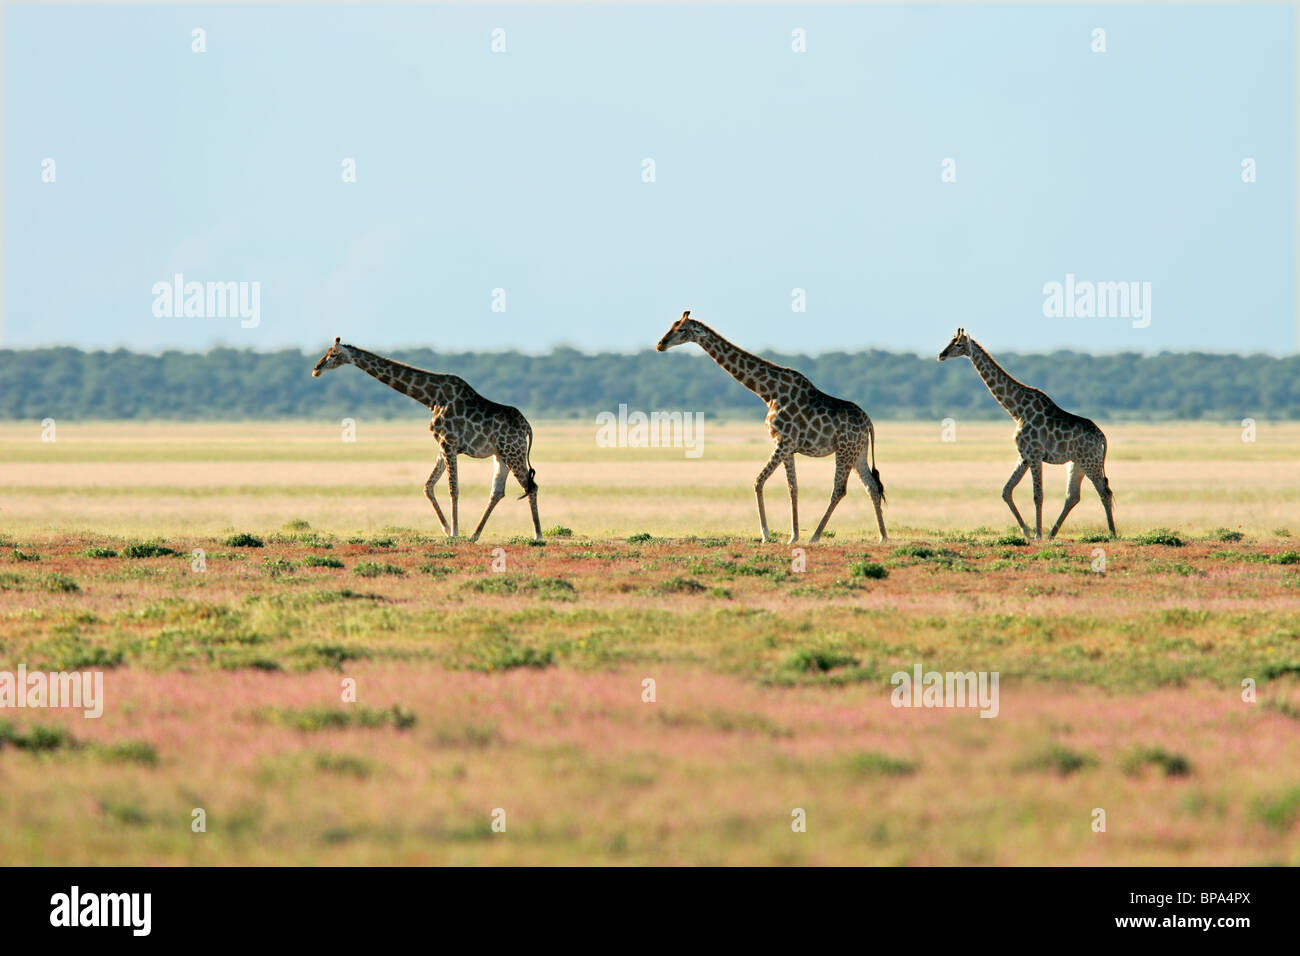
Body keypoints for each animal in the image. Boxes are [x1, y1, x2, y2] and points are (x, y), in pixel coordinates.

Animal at [312, 338, 541, 542]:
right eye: (326, 352)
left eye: (333, 354)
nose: (316, 369)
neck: (431, 398)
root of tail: (527, 427)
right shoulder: (442, 446)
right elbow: (428, 486)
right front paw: (447, 529)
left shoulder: (449, 443)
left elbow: (453, 489)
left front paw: (454, 532)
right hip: (500, 454)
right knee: (497, 492)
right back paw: (474, 535)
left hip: (513, 452)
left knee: (531, 486)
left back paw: (537, 535)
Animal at [656, 311, 887, 544]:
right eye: (671, 326)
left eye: (682, 329)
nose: (660, 344)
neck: (769, 392)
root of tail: (868, 422)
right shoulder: (788, 447)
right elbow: (793, 488)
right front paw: (793, 536)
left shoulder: (783, 442)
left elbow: (758, 481)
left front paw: (766, 534)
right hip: (858, 452)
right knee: (871, 486)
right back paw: (882, 536)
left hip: (845, 450)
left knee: (839, 490)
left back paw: (815, 536)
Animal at [937, 328, 1116, 540]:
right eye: (950, 341)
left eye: (958, 344)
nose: (941, 355)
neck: (1017, 410)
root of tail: (1102, 437)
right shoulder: (1024, 455)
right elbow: (1006, 491)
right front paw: (1028, 532)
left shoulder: (1035, 454)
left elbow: (1037, 495)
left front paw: (1037, 534)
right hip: (1077, 463)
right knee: (1073, 496)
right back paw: (1052, 534)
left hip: (1091, 462)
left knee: (1104, 492)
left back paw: (1112, 533)